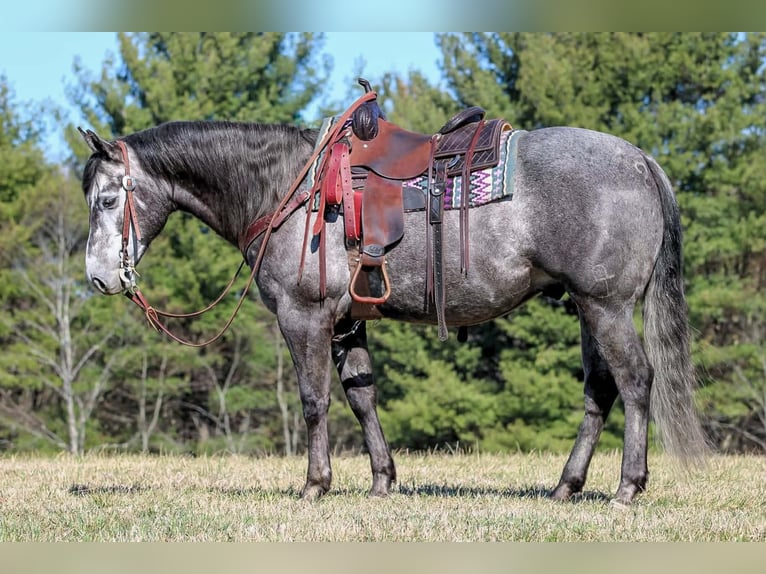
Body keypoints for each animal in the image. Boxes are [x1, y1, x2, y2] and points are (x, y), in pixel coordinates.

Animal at [78, 93, 708, 506]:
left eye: (108, 200)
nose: (100, 277)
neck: (288, 188)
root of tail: (641, 160)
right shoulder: (346, 322)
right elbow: (362, 396)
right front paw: (382, 479)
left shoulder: (303, 317)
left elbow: (315, 401)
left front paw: (315, 485)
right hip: (587, 306)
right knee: (600, 390)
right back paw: (565, 486)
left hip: (606, 305)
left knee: (635, 382)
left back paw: (627, 487)